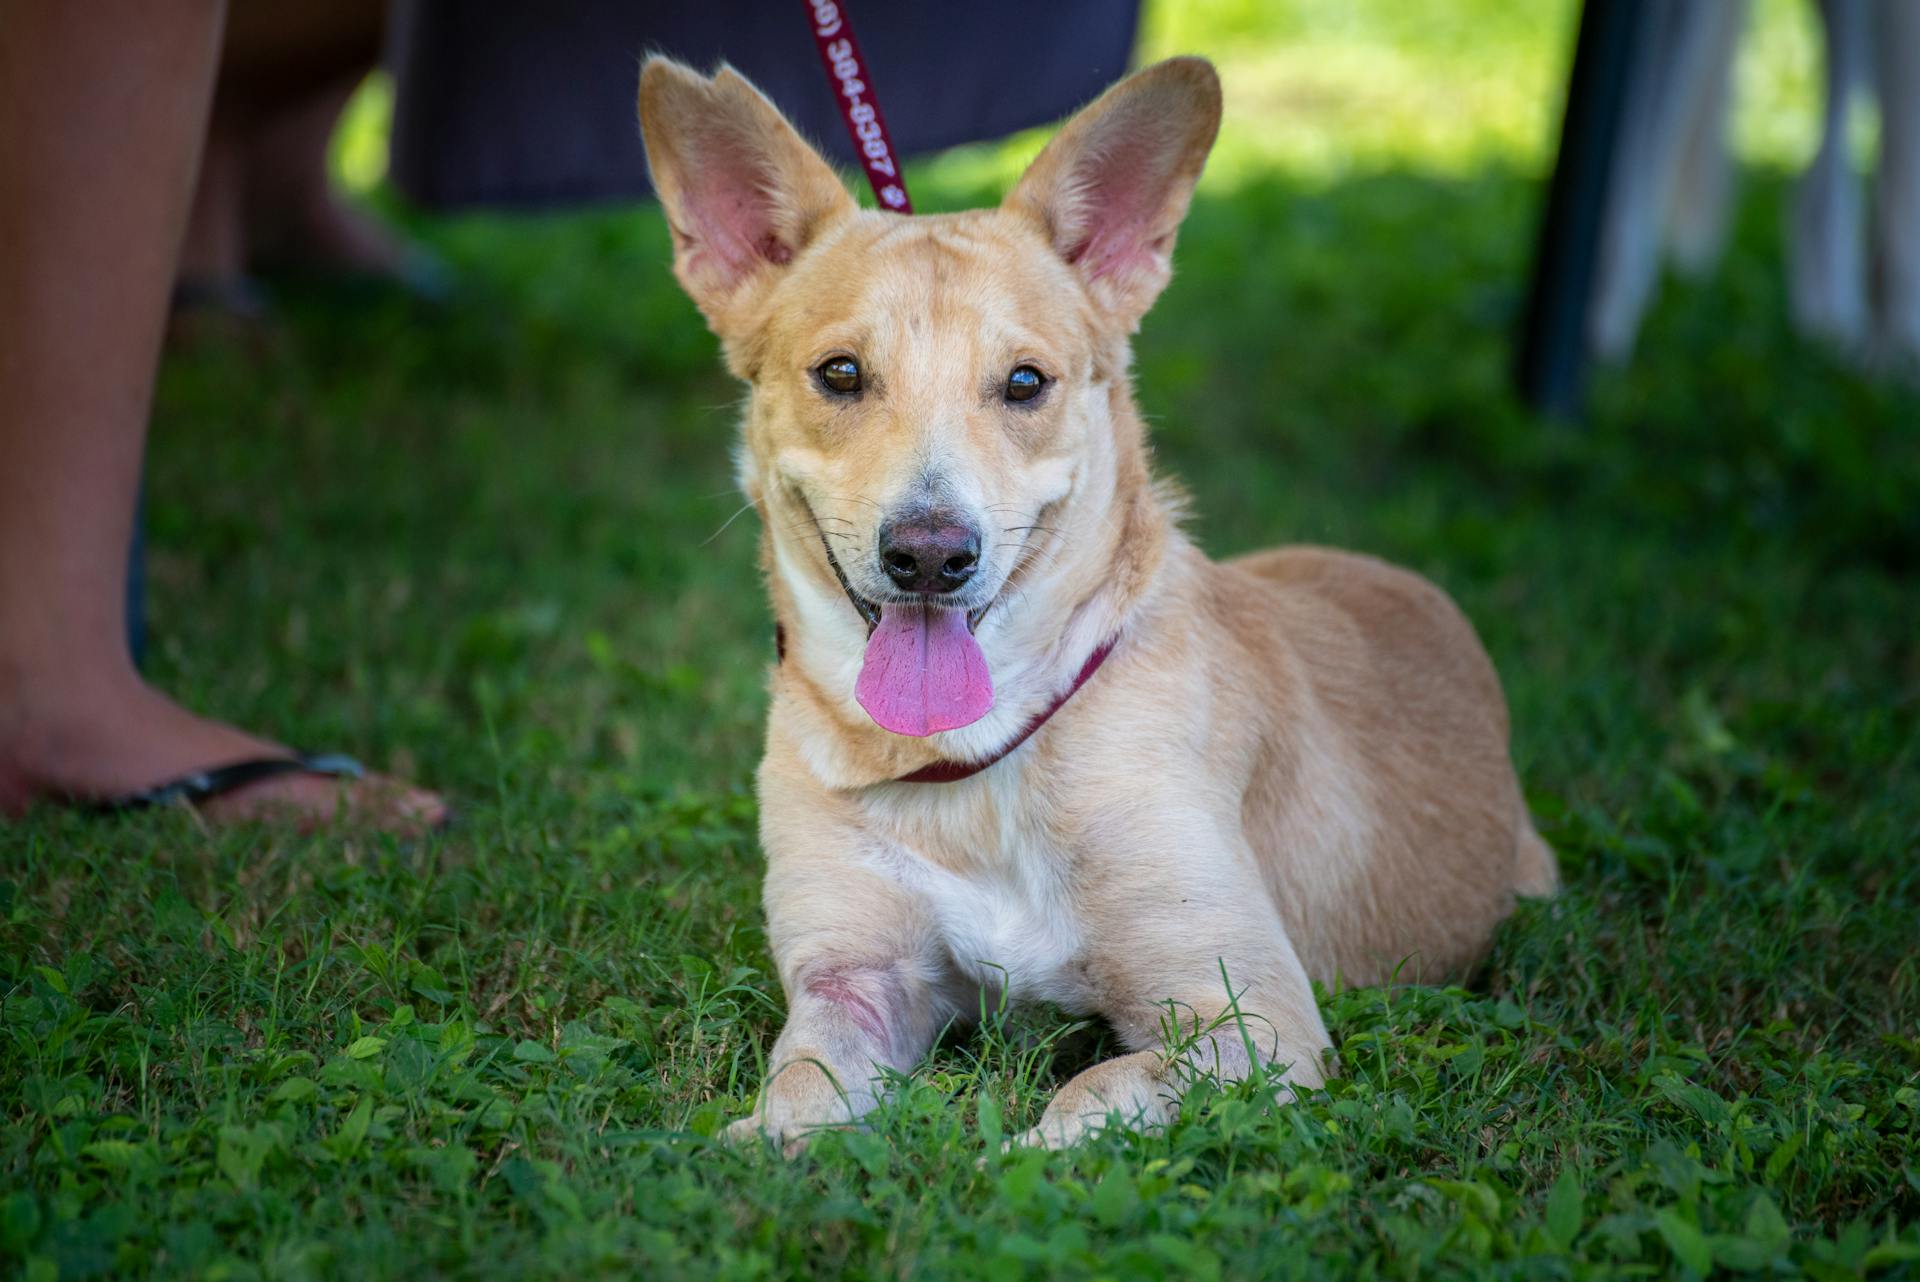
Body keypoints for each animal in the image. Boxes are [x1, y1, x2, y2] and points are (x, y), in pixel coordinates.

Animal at [637, 52, 1551, 1151]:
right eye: (842, 374)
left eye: (1026, 382)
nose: (931, 556)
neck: (974, 763)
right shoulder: (852, 978)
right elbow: (800, 1091)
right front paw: (753, 1149)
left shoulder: (1250, 1017)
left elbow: (1087, 1096)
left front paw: (1005, 1158)